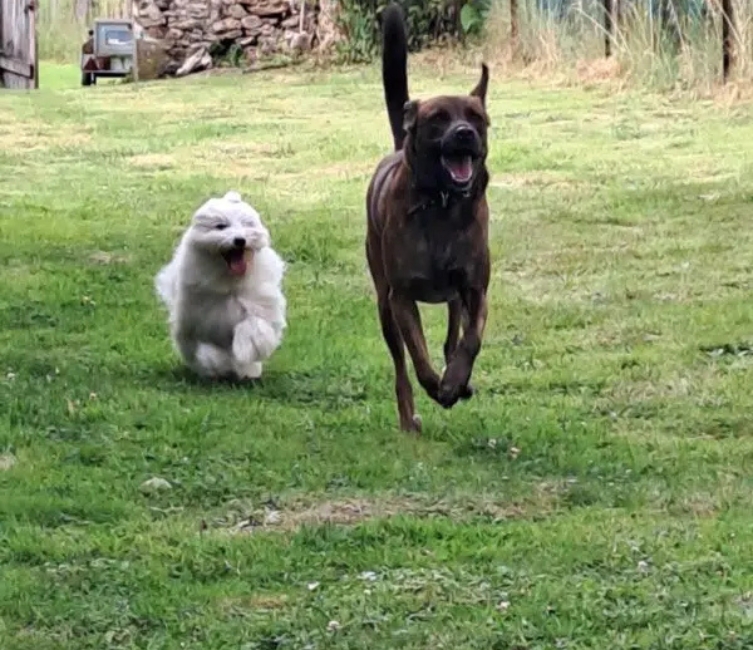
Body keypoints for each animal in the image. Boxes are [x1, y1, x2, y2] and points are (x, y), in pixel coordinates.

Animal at [155, 191, 287, 380]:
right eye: (221, 226)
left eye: (246, 225)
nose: (240, 240)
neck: (229, 283)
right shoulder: (197, 326)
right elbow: (211, 352)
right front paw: (219, 364)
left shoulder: (259, 303)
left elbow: (254, 326)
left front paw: (245, 349)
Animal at [365, 3, 491, 432]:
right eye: (438, 117)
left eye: (477, 117)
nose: (465, 133)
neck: (442, 205)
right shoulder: (401, 296)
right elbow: (418, 359)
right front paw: (439, 387)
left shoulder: (475, 288)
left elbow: (471, 339)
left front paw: (455, 382)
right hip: (383, 303)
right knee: (400, 365)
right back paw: (409, 419)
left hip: (452, 296)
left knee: (454, 332)